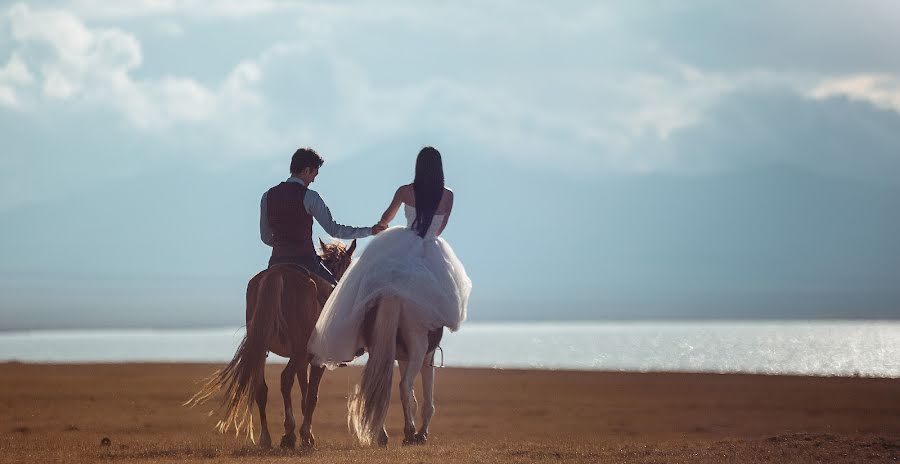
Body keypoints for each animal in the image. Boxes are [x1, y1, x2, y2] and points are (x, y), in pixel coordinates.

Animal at [185, 237, 356, 448]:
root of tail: (278, 274)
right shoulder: (315, 358)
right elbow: (311, 395)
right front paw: (305, 435)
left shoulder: (300, 358)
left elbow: (300, 390)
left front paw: (302, 433)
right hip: (298, 349)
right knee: (291, 382)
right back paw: (293, 434)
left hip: (264, 347)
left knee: (261, 387)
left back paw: (266, 438)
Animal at [346, 296, 442, 448]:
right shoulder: (428, 356)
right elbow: (427, 398)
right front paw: (421, 435)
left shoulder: (403, 358)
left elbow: (412, 399)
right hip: (418, 348)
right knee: (403, 385)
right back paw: (409, 433)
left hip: (380, 349)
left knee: (376, 387)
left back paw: (383, 436)